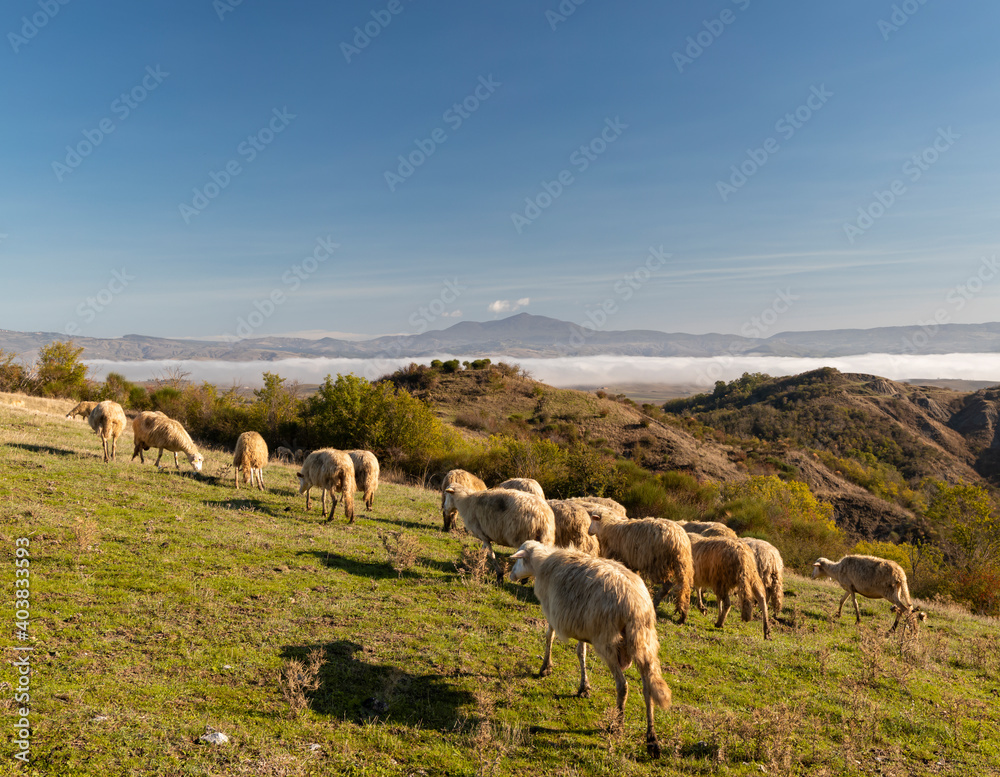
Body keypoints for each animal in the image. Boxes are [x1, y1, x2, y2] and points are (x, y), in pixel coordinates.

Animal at [508, 544, 672, 756]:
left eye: (519, 560)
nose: (511, 575)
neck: (541, 563)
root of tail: (636, 605)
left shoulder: (552, 612)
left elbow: (549, 636)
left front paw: (545, 667)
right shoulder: (582, 625)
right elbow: (581, 652)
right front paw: (583, 686)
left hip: (607, 641)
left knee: (622, 685)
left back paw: (617, 725)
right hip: (644, 641)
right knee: (648, 687)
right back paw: (652, 739)